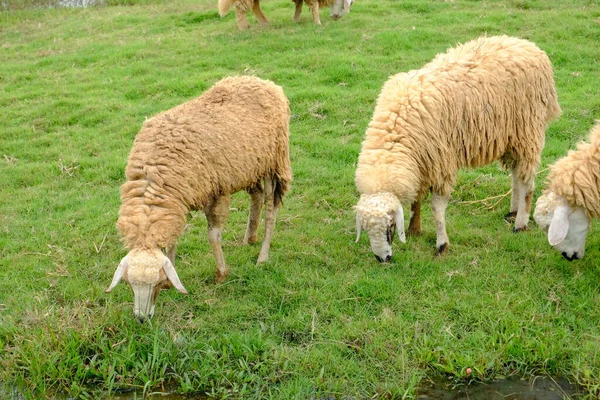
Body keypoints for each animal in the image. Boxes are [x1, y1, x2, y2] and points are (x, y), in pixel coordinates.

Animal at [354, 35, 560, 262]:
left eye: (390, 226)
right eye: (365, 229)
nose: (383, 259)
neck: (396, 128)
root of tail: (528, 45)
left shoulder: (441, 163)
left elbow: (437, 209)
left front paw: (441, 245)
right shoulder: (421, 163)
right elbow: (416, 199)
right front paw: (414, 229)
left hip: (527, 131)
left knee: (526, 182)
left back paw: (520, 222)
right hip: (510, 138)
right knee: (516, 174)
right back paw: (513, 211)